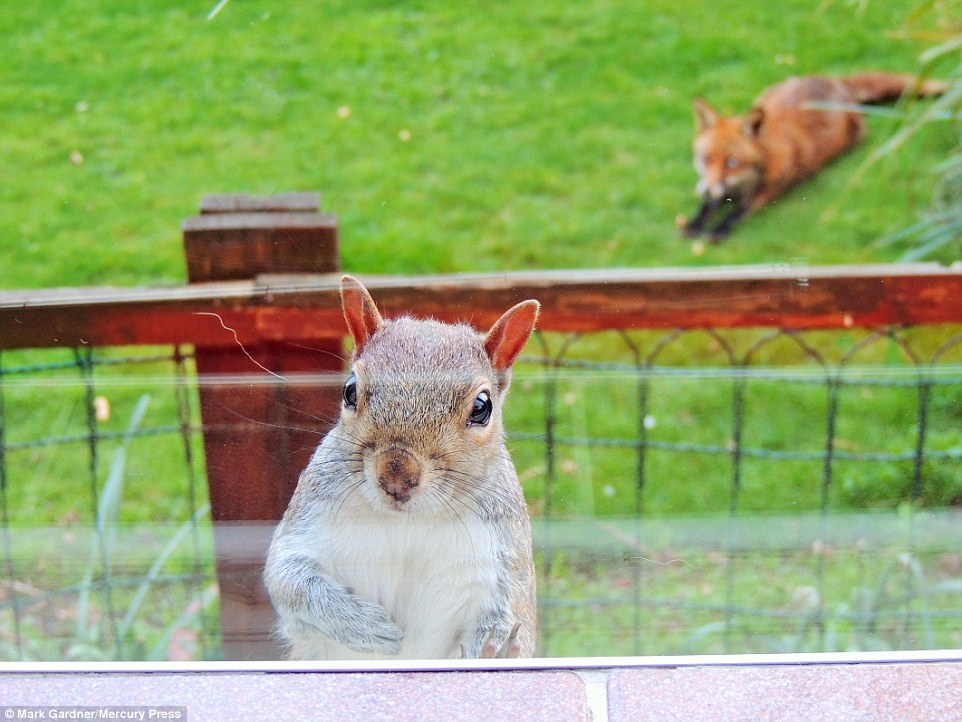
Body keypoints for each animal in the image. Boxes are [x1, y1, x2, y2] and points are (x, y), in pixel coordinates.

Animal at [262, 276, 540, 660]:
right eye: (350, 391)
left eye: (482, 407)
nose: (396, 475)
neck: (410, 520)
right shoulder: (306, 522)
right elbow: (289, 578)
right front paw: (367, 626)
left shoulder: (506, 563)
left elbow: (515, 621)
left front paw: (492, 654)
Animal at [680, 73, 940, 242]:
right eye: (705, 159)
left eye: (732, 163)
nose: (706, 188)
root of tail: (835, 81)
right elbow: (707, 206)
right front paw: (695, 223)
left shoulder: (767, 192)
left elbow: (736, 214)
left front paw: (718, 231)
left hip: (856, 136)